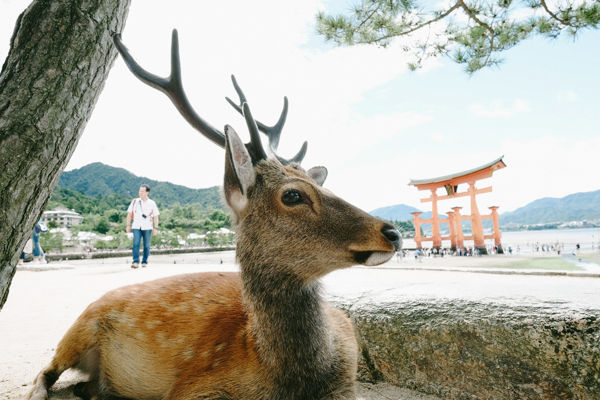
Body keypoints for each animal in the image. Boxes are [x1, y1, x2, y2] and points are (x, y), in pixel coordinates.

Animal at [29, 29, 404, 398]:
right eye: (293, 195)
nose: (394, 233)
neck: (295, 380)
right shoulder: (194, 386)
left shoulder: (348, 378)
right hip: (78, 327)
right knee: (46, 371)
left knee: (84, 384)